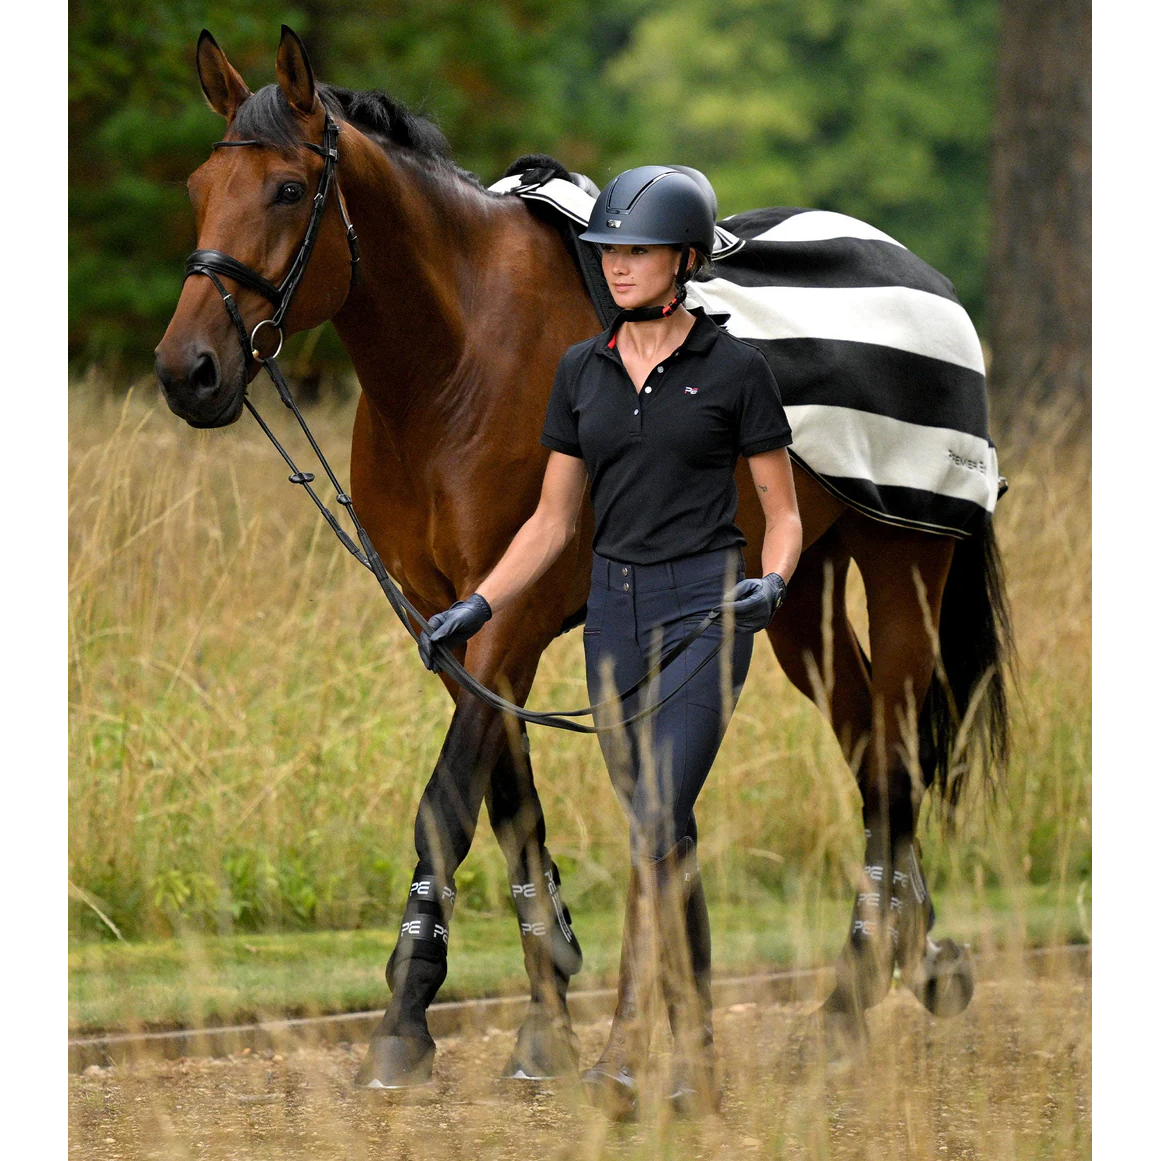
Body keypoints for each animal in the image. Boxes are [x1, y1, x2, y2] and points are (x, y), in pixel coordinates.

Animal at [155, 27, 1011, 1086]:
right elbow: (510, 805)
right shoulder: (452, 620)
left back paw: (851, 1003)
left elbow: (449, 801)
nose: (187, 371)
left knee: (892, 758)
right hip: (797, 590)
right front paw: (546, 1014)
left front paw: (406, 1015)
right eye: (199, 185)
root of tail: (929, 284)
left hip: (902, 562)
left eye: (283, 189)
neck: (457, 359)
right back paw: (911, 951)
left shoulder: (511, 614)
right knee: (866, 744)